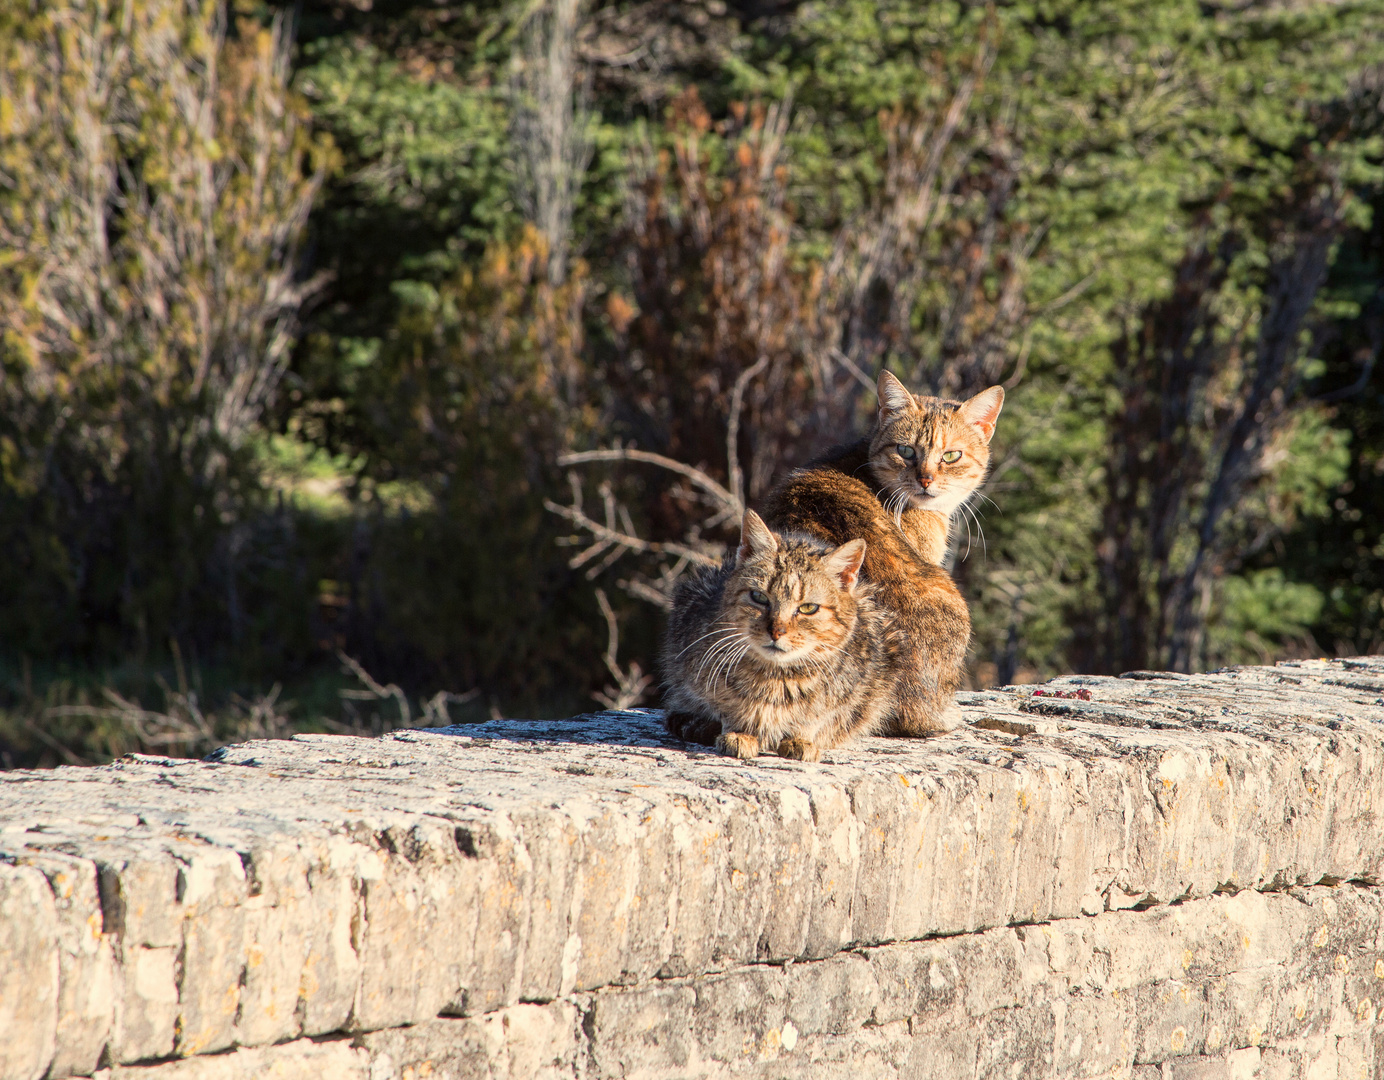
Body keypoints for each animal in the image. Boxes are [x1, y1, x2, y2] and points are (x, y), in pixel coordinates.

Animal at [658, 509, 896, 764]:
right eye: (759, 597)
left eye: (808, 608)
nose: (776, 632)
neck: (776, 679)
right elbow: (727, 707)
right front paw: (740, 733)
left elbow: (813, 717)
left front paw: (800, 739)